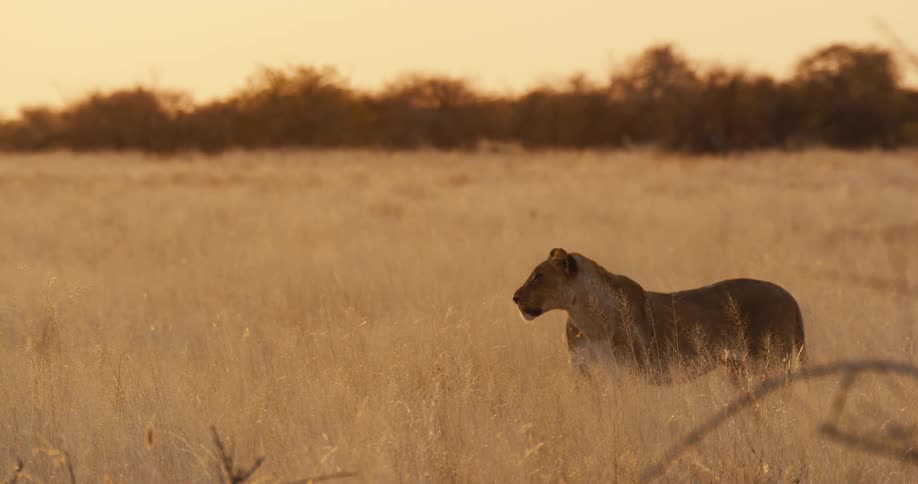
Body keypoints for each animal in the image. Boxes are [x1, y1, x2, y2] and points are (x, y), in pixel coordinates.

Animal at [512, 248, 806, 383]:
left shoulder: (631, 372)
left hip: (769, 362)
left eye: (538, 276)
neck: (584, 316)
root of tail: (788, 294)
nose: (514, 297)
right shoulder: (585, 371)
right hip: (740, 368)